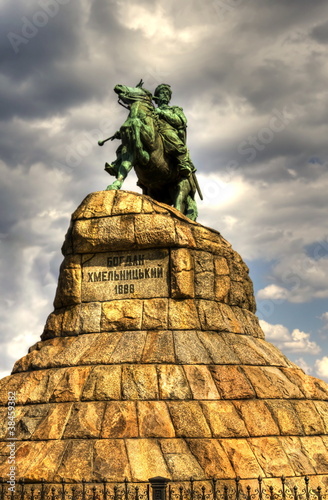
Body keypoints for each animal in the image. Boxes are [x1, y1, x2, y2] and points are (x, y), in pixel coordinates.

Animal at [102, 82, 197, 221]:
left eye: (138, 88)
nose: (118, 85)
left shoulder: (150, 141)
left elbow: (138, 124)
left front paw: (143, 153)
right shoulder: (128, 153)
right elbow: (124, 168)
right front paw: (114, 185)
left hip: (182, 184)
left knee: (179, 201)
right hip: (154, 190)